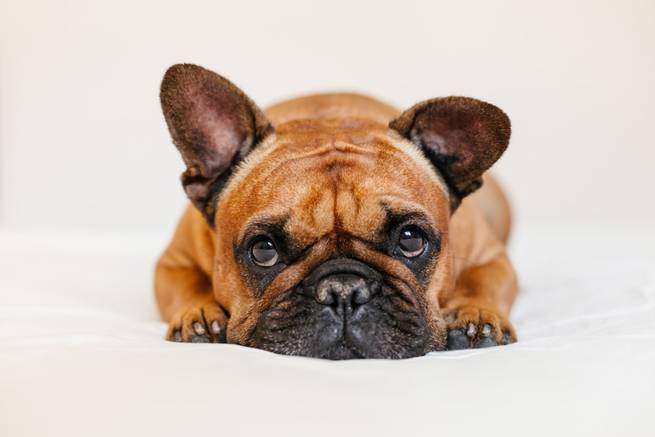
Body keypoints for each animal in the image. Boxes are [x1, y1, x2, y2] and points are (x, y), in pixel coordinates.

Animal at [154, 63, 516, 358]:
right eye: (263, 250)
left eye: (411, 240)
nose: (343, 290)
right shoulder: (173, 261)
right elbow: (186, 285)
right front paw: (200, 314)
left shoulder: (490, 256)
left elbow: (483, 282)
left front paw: (476, 315)